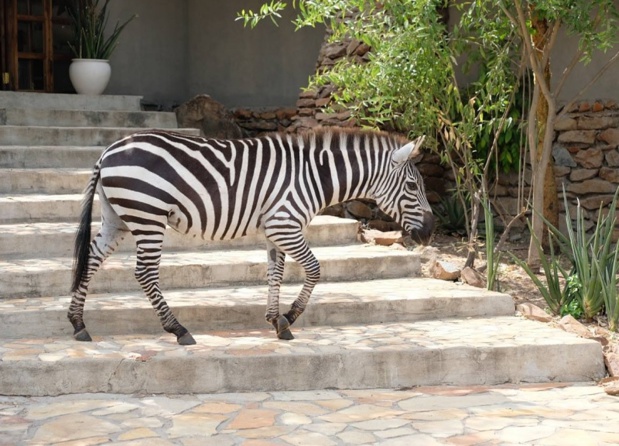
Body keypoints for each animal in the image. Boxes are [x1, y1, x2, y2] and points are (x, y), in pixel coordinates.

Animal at [69, 128, 436, 344]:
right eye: (412, 186)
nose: (431, 232)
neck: (314, 177)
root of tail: (108, 151)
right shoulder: (285, 225)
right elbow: (314, 270)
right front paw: (290, 316)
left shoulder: (275, 228)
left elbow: (275, 274)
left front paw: (276, 321)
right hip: (148, 216)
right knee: (144, 273)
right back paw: (178, 330)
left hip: (117, 217)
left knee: (90, 261)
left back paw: (78, 324)